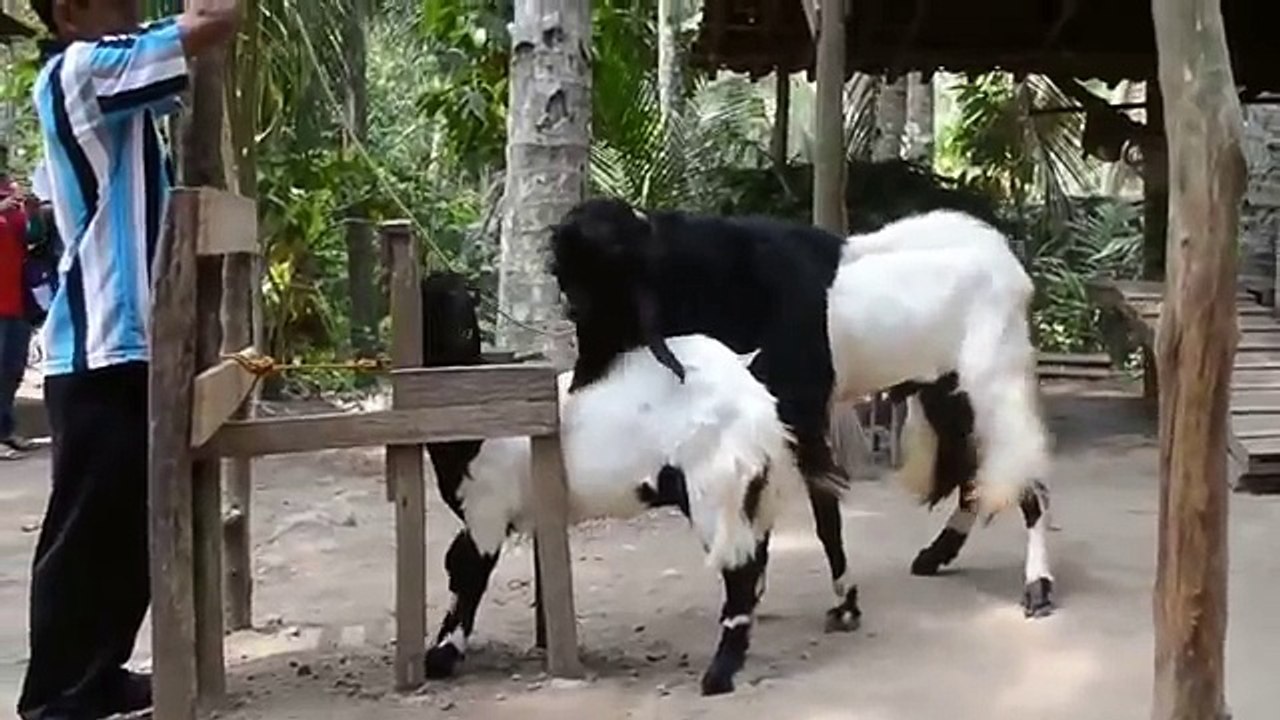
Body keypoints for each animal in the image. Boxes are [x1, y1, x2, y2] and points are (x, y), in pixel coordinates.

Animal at [419, 271, 803, 696]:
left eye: (461, 317)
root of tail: (756, 401)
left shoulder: (486, 508)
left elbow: (468, 572)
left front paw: (441, 657)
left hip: (716, 483)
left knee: (740, 570)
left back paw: (718, 676)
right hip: (752, 490)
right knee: (756, 561)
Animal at [549, 199, 1055, 619]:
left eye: (600, 282)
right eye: (565, 281)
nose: (579, 376)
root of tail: (1008, 263)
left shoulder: (802, 415)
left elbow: (825, 514)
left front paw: (845, 602)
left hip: (993, 384)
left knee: (1024, 475)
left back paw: (1038, 585)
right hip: (944, 392)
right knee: (974, 473)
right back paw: (937, 554)